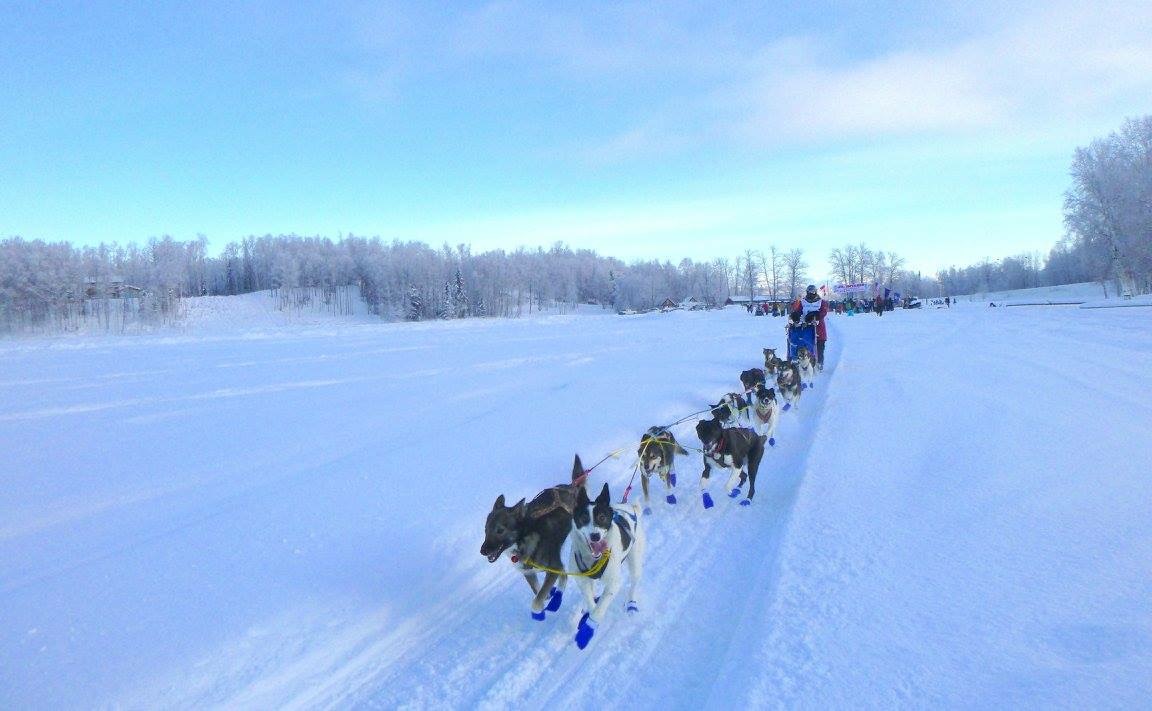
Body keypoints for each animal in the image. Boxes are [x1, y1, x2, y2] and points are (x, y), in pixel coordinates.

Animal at [479, 458, 589, 617]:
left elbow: (536, 602)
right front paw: (552, 597)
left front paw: (546, 606)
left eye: (500, 530)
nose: (483, 551)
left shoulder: (554, 568)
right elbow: (540, 591)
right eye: (486, 530)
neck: (522, 543)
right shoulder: (531, 574)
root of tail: (570, 487)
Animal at [569, 481, 649, 649]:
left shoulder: (613, 583)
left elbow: (599, 608)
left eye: (602, 517)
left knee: (634, 582)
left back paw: (631, 604)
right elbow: (591, 602)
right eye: (584, 518)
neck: (593, 559)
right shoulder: (582, 580)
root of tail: (629, 508)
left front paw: (588, 629)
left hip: (635, 561)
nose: (595, 536)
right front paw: (588, 613)